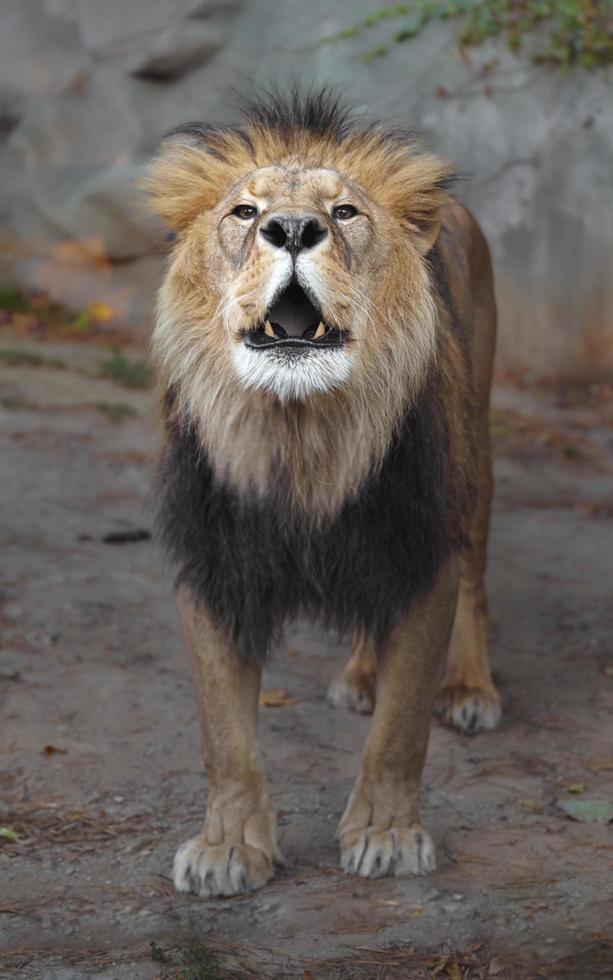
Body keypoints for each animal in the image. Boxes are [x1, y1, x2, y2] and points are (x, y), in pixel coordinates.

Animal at [142, 88, 502, 900]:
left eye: (344, 213)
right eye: (244, 212)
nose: (293, 229)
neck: (300, 435)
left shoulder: (419, 547)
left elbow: (401, 730)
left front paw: (387, 836)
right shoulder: (216, 562)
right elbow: (225, 737)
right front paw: (227, 849)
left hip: (473, 463)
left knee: (475, 581)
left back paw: (470, 688)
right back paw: (360, 676)